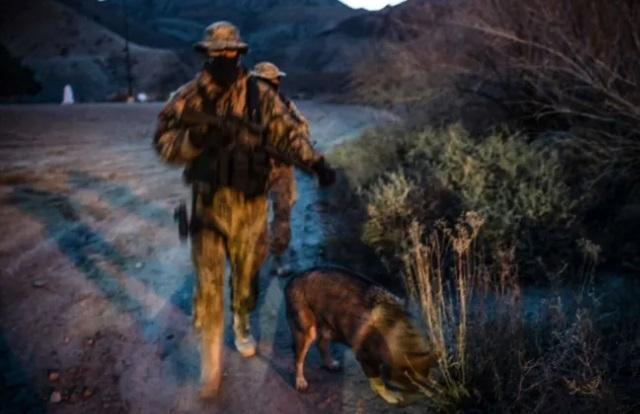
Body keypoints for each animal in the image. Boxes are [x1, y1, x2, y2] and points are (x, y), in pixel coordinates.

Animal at [284, 267, 436, 405]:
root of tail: (294, 278)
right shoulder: (365, 357)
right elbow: (377, 381)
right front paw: (389, 395)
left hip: (330, 326)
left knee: (321, 343)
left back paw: (330, 364)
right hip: (306, 331)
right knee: (298, 358)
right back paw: (300, 381)